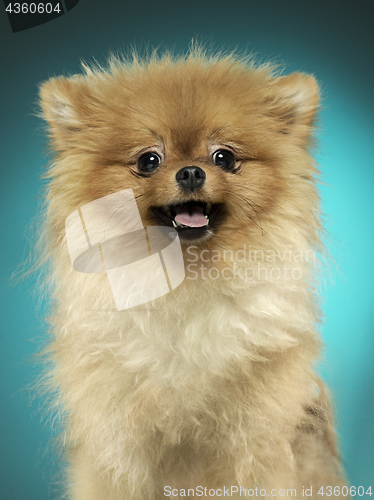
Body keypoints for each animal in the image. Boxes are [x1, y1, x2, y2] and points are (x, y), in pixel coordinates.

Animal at [38, 47, 348, 500]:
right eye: (149, 160)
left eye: (225, 158)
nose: (190, 171)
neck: (187, 283)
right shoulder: (118, 448)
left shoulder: (254, 442)